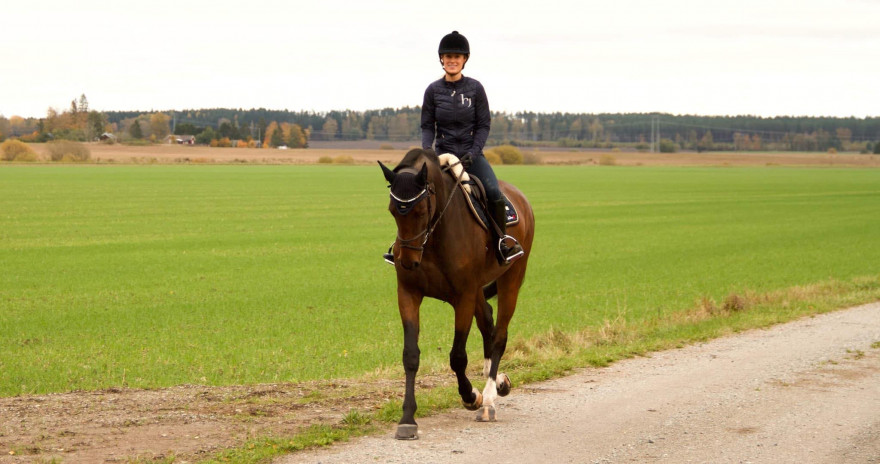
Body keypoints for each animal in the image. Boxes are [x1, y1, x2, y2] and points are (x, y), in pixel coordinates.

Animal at [374, 148, 532, 438]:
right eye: (393, 211)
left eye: (421, 210)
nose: (407, 261)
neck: (435, 237)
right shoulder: (409, 294)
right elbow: (410, 355)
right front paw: (407, 419)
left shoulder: (464, 296)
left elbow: (458, 357)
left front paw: (472, 396)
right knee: (488, 323)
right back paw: (498, 382)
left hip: (511, 279)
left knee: (499, 335)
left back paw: (489, 400)